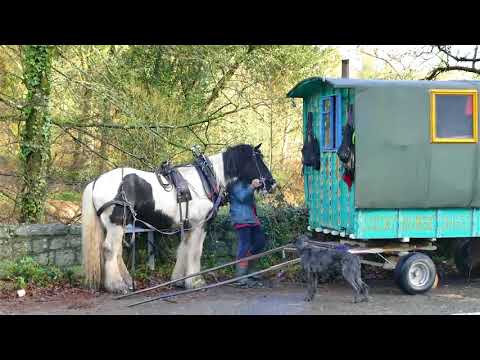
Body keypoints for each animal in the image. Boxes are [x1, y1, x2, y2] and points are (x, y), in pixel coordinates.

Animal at [81, 143, 276, 292]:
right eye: (258, 159)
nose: (272, 183)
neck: (206, 179)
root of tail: (96, 182)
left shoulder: (188, 226)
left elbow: (184, 249)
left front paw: (179, 280)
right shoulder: (199, 225)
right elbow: (196, 252)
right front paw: (196, 281)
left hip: (116, 225)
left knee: (117, 251)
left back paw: (127, 281)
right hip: (116, 222)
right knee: (110, 249)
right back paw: (116, 285)